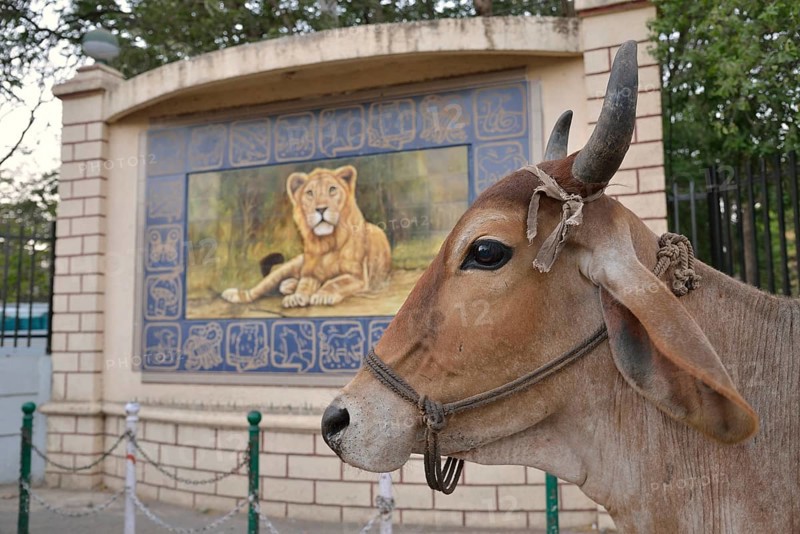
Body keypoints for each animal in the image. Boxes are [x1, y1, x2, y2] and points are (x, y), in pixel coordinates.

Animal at [221, 165, 391, 308]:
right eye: (310, 193)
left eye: (332, 189)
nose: (321, 209)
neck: (326, 242)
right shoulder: (310, 273)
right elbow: (304, 285)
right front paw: (297, 297)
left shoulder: (358, 276)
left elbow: (335, 282)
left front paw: (322, 295)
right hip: (287, 267)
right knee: (259, 288)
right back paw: (234, 294)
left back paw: (288, 285)